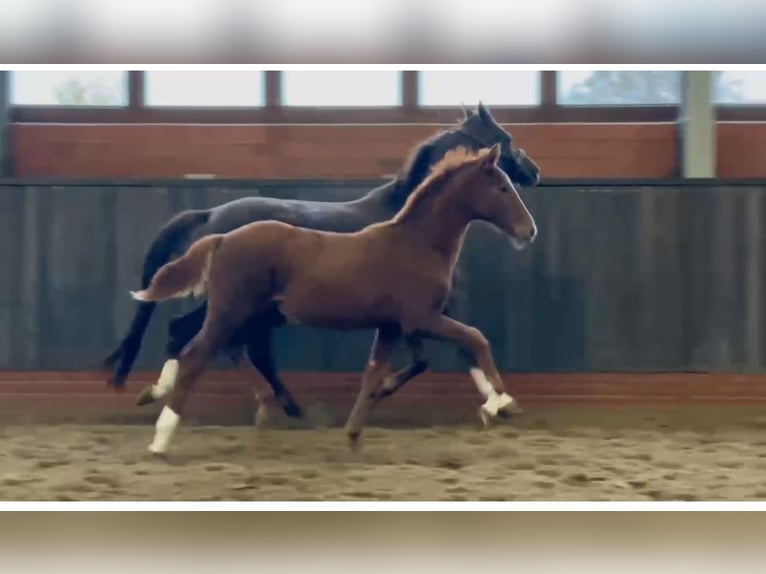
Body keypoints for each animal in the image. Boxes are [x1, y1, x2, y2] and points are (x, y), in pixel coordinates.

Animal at [105, 103, 544, 424]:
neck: (408, 220)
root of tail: (211, 215)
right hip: (236, 302)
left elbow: (453, 349)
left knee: (239, 346)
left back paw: (281, 405)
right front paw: (501, 401)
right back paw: (162, 391)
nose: (535, 171)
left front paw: (499, 401)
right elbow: (464, 345)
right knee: (187, 332)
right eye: (505, 138)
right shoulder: (427, 307)